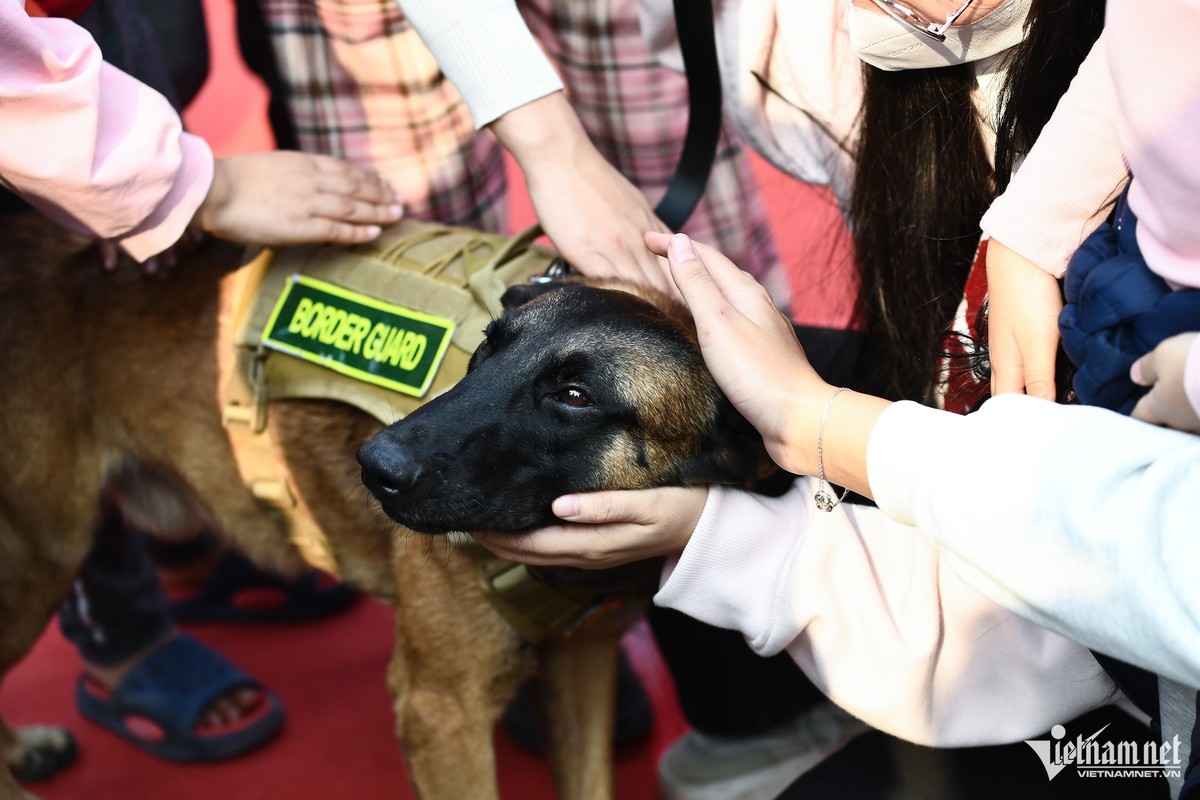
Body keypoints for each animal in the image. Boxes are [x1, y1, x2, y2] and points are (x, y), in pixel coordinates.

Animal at [0, 212, 777, 800]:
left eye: (575, 396)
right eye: (488, 349)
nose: (375, 468)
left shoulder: (583, 664)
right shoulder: (442, 712)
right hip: (35, 559)